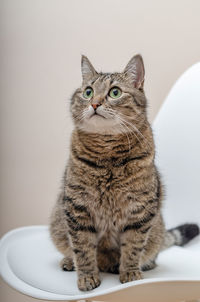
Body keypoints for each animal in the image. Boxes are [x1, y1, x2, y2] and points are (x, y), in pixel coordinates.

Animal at [49, 53, 198, 290]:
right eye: (88, 91)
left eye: (115, 92)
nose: (94, 103)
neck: (107, 152)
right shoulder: (77, 208)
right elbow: (82, 249)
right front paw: (87, 277)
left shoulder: (140, 210)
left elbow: (133, 247)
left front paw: (130, 273)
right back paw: (69, 261)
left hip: (157, 228)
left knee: (152, 250)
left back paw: (144, 264)